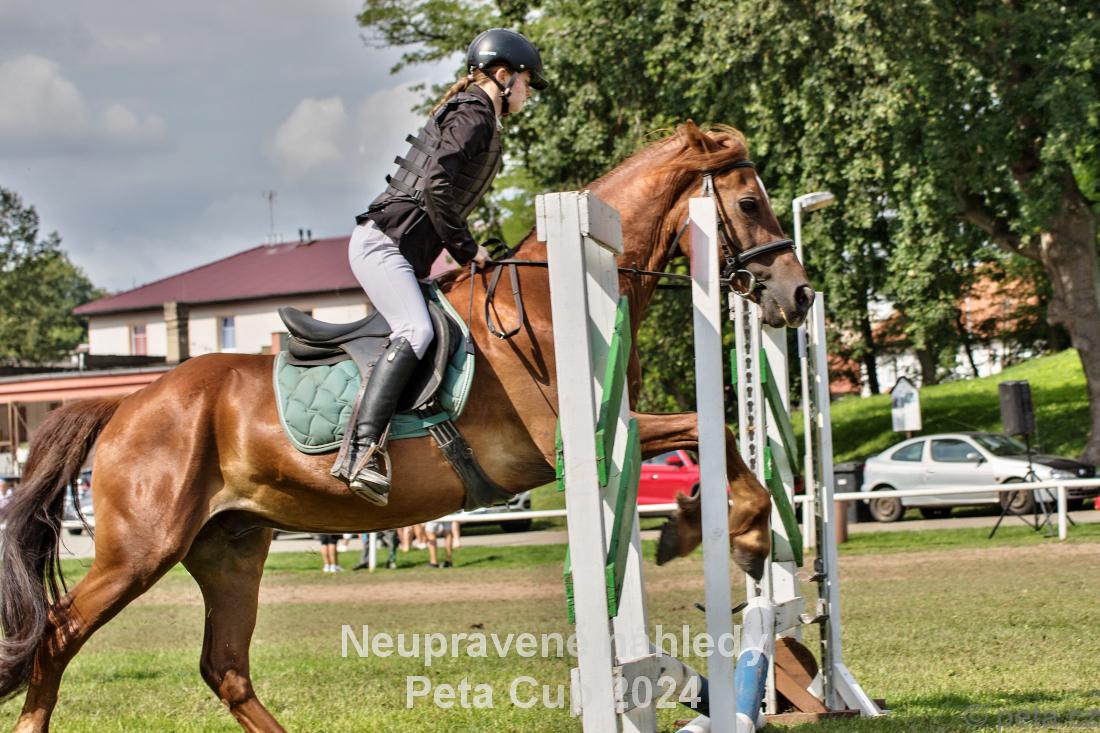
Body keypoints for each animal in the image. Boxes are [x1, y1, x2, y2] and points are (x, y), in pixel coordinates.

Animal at [0, 121, 813, 732]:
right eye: (748, 202)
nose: (798, 295)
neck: (551, 302)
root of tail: (128, 402)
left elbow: (712, 437)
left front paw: (716, 530)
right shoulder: (566, 443)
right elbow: (710, 433)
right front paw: (722, 531)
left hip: (230, 547)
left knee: (224, 667)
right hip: (141, 551)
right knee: (59, 635)